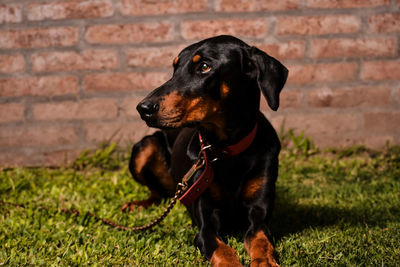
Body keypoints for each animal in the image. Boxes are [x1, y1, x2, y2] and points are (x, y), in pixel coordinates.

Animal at [123, 36, 290, 267]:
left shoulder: (258, 216)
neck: (227, 151)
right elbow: (223, 251)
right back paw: (137, 205)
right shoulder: (206, 223)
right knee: (157, 194)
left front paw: (264, 262)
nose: (143, 108)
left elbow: (261, 241)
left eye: (204, 66)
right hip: (143, 148)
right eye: (174, 68)